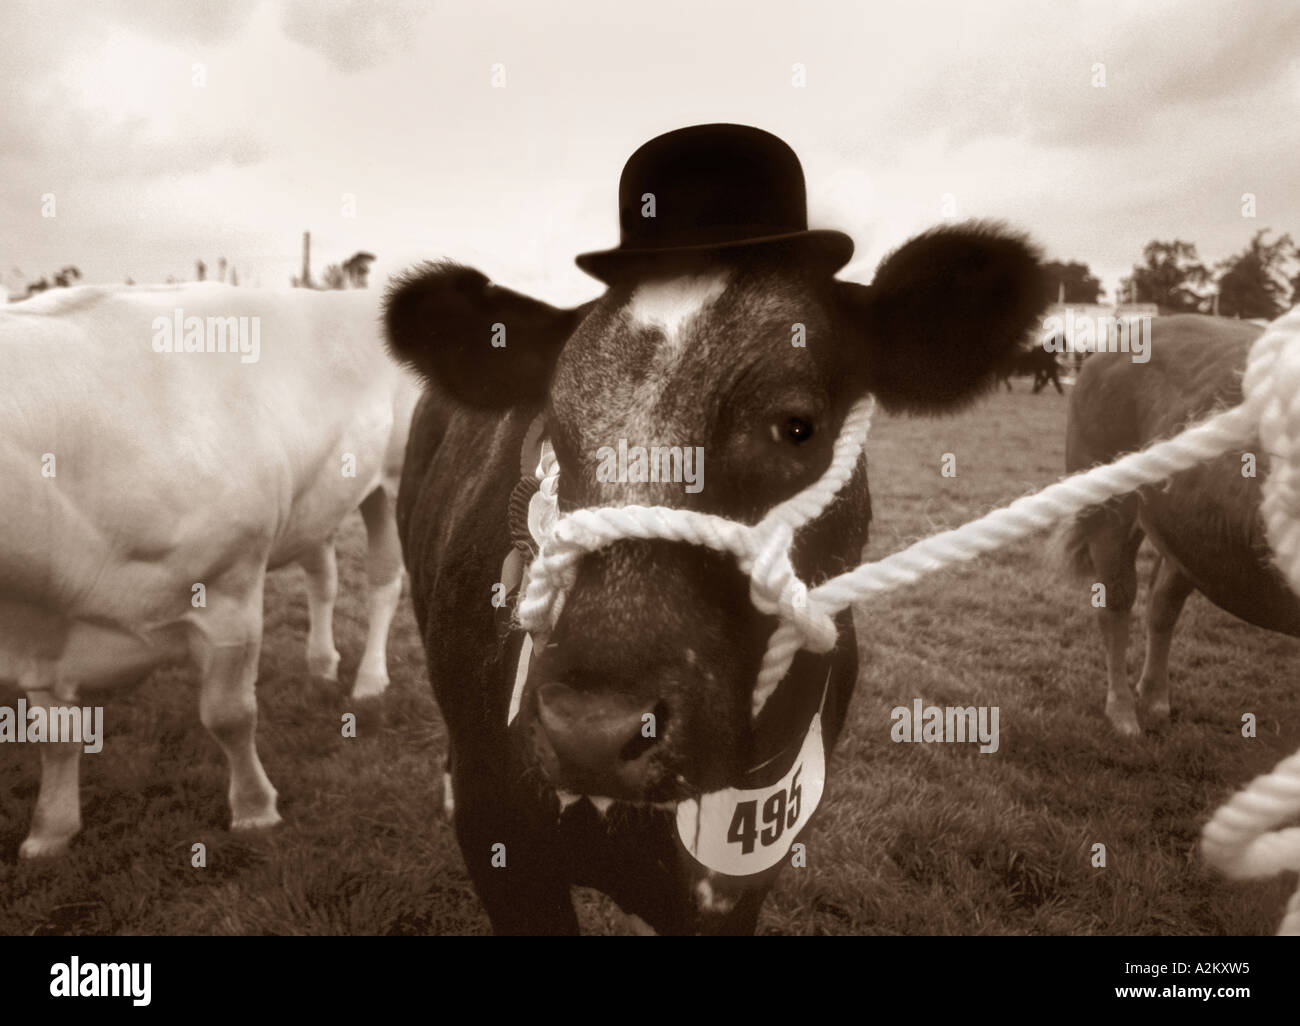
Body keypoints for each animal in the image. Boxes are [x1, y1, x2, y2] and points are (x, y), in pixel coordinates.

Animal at [0, 282, 419, 858]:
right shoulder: (40, 631)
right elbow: (55, 738)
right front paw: (50, 833)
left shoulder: (230, 594)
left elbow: (229, 716)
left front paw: (255, 811)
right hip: (316, 502)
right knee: (323, 577)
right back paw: (321, 663)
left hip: (391, 481)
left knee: (382, 583)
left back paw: (370, 680)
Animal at [1062, 314, 1300, 737]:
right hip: (1109, 513)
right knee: (1116, 603)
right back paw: (1123, 713)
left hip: (1189, 532)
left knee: (1163, 602)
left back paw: (1155, 699)